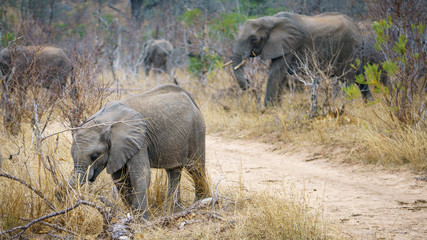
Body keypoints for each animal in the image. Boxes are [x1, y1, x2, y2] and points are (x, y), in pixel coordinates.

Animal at [67, 84, 211, 219]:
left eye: (95, 156)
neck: (104, 120)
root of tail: (190, 97)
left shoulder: (139, 138)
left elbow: (140, 174)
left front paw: (141, 220)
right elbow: (120, 178)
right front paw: (133, 215)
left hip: (196, 130)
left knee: (195, 168)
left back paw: (201, 205)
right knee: (174, 171)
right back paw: (173, 212)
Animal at [232, 11, 372, 106]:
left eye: (254, 39)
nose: (248, 81)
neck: (269, 20)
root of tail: (358, 27)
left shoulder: (290, 45)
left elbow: (275, 72)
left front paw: (268, 110)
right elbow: (280, 76)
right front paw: (276, 108)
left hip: (350, 47)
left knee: (347, 78)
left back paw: (343, 105)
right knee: (360, 76)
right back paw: (370, 104)